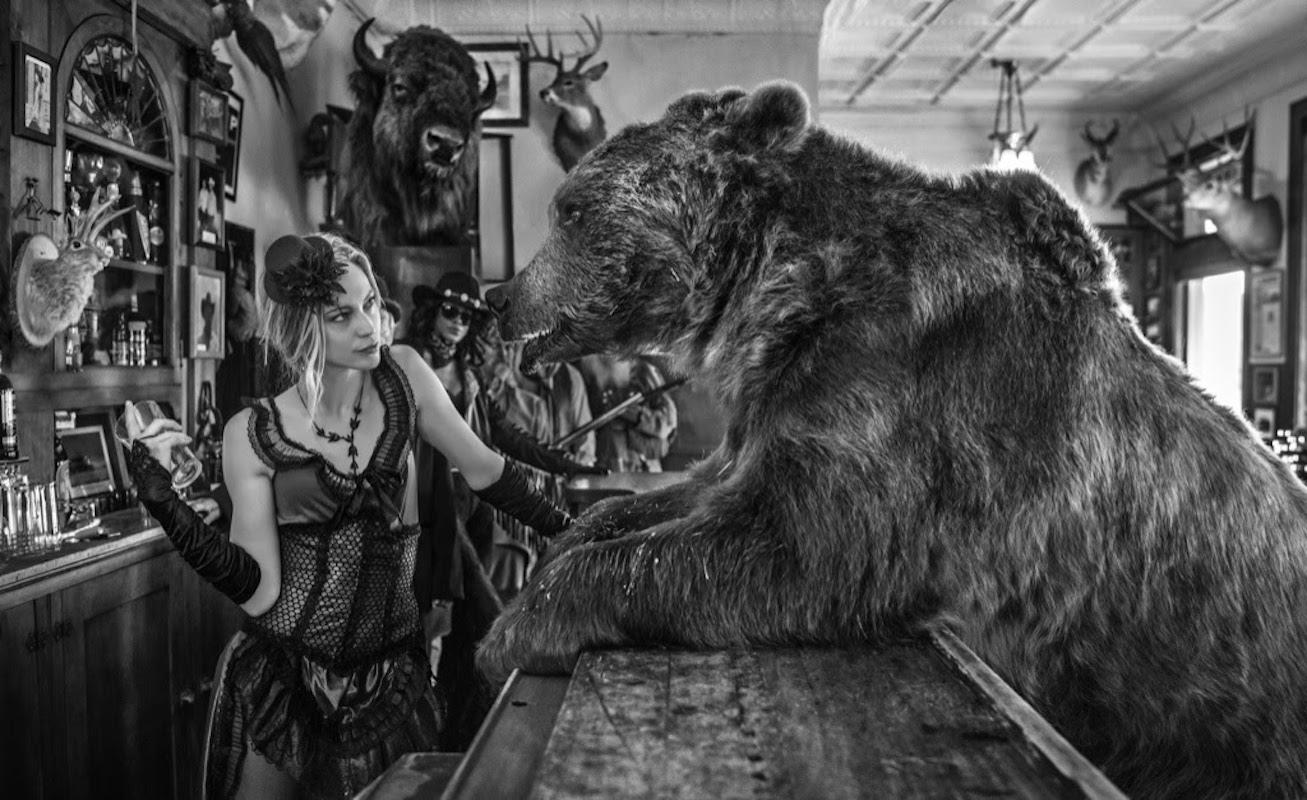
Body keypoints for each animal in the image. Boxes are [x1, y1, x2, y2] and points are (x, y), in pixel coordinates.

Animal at [478, 82, 1307, 800]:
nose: (499, 296)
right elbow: (692, 492)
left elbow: (799, 547)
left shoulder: (899, 399)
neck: (779, 291)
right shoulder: (775, 406)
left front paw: (514, 629)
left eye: (570, 209)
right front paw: (564, 542)